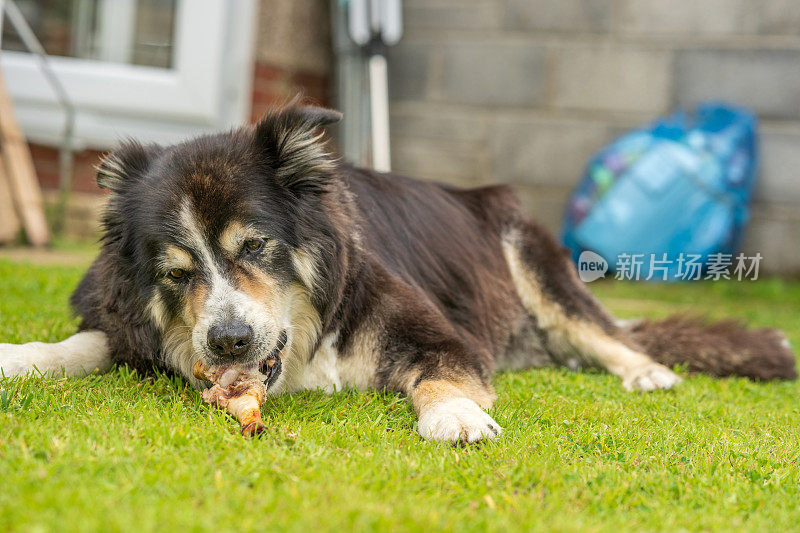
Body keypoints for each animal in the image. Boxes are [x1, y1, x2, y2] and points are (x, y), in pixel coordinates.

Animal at [0, 103, 796, 440]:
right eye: (175, 271)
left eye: (255, 247)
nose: (227, 342)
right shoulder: (127, 322)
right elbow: (91, 340)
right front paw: (22, 355)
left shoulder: (438, 333)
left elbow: (441, 373)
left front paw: (456, 414)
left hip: (530, 252)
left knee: (602, 328)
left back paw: (644, 370)